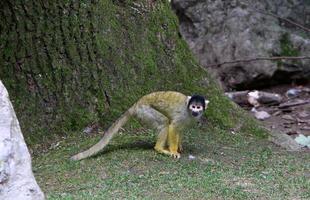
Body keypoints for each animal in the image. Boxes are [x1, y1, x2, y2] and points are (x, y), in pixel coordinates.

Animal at [71, 91, 209, 160]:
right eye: (193, 106)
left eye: (198, 107)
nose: (195, 111)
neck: (189, 112)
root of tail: (136, 104)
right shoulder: (183, 114)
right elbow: (173, 127)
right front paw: (174, 150)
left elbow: (180, 130)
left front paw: (179, 145)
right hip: (145, 111)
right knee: (164, 122)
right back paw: (159, 148)